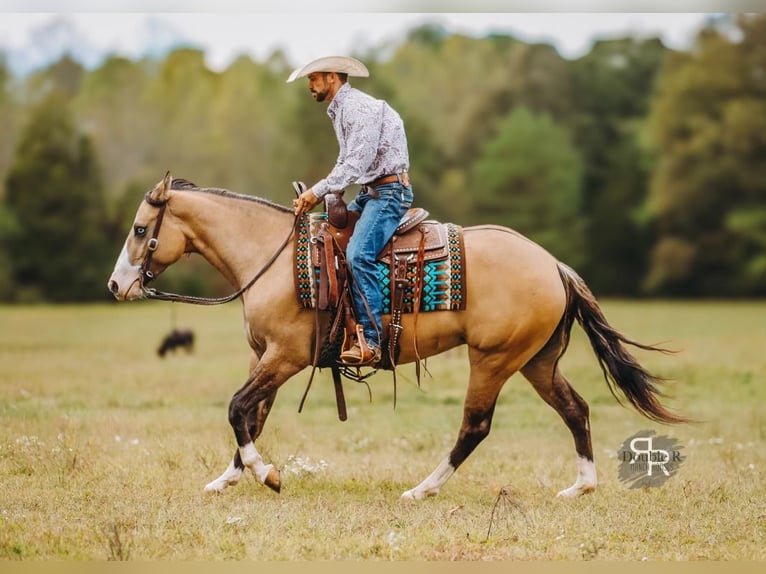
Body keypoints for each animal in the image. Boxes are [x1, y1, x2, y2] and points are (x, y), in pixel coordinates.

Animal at [107, 172, 688, 500]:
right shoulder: (265, 357)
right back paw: (582, 485)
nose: (117, 284)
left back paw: (422, 490)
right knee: (575, 409)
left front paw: (265, 474)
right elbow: (253, 415)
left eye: (140, 229)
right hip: (537, 361)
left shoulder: (286, 356)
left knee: (475, 426)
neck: (271, 257)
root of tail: (552, 265)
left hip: (494, 360)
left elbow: (237, 409)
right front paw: (230, 479)